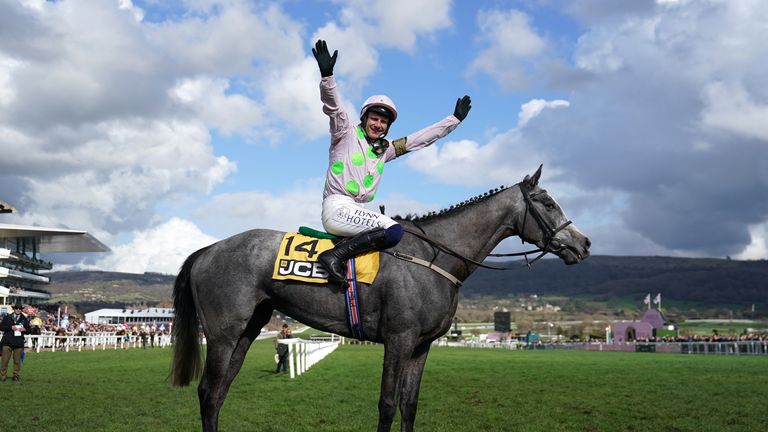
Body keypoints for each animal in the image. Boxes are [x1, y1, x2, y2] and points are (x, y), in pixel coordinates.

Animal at [170, 165, 588, 428]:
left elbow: (409, 405)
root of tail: (207, 250)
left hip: (248, 330)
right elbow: (387, 405)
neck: (433, 256)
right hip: (223, 334)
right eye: (548, 203)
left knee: (220, 392)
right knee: (208, 392)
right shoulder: (399, 339)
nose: (583, 243)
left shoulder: (421, 346)